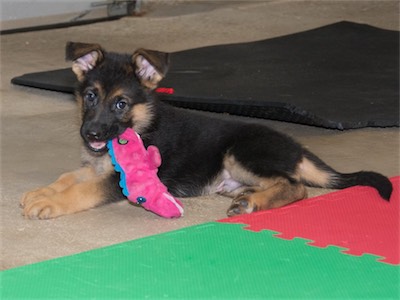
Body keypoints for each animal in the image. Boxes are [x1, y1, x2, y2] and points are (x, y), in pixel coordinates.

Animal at [20, 42, 392, 219]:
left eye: (121, 104)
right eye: (90, 96)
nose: (92, 135)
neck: (142, 124)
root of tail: (297, 148)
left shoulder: (116, 180)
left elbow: (82, 190)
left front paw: (50, 203)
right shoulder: (95, 166)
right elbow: (68, 177)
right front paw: (41, 192)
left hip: (240, 152)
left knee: (296, 186)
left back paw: (251, 202)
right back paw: (244, 194)